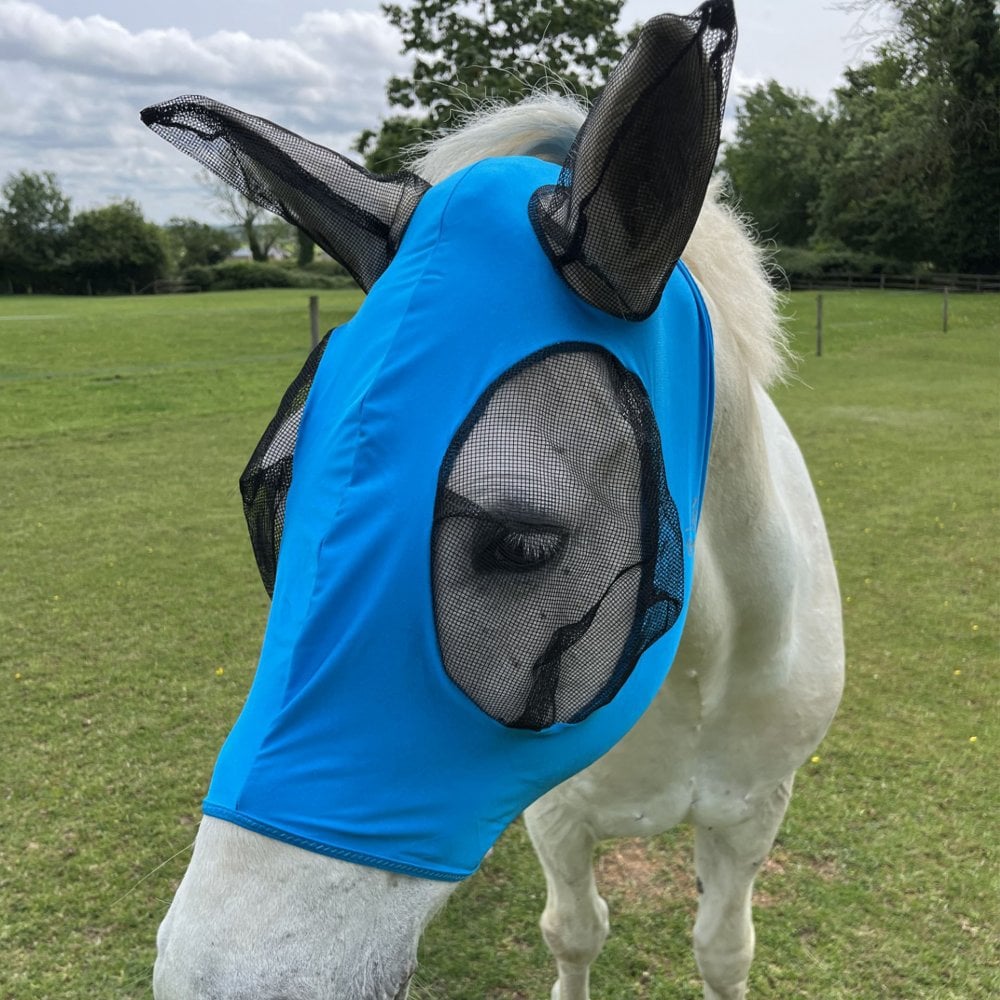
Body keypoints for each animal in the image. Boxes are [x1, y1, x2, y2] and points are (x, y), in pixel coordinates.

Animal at [144, 5, 843, 998]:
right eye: (269, 507)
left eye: (522, 543)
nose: (216, 978)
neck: (700, 674)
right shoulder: (557, 815)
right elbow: (576, 932)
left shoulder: (752, 813)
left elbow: (722, 947)